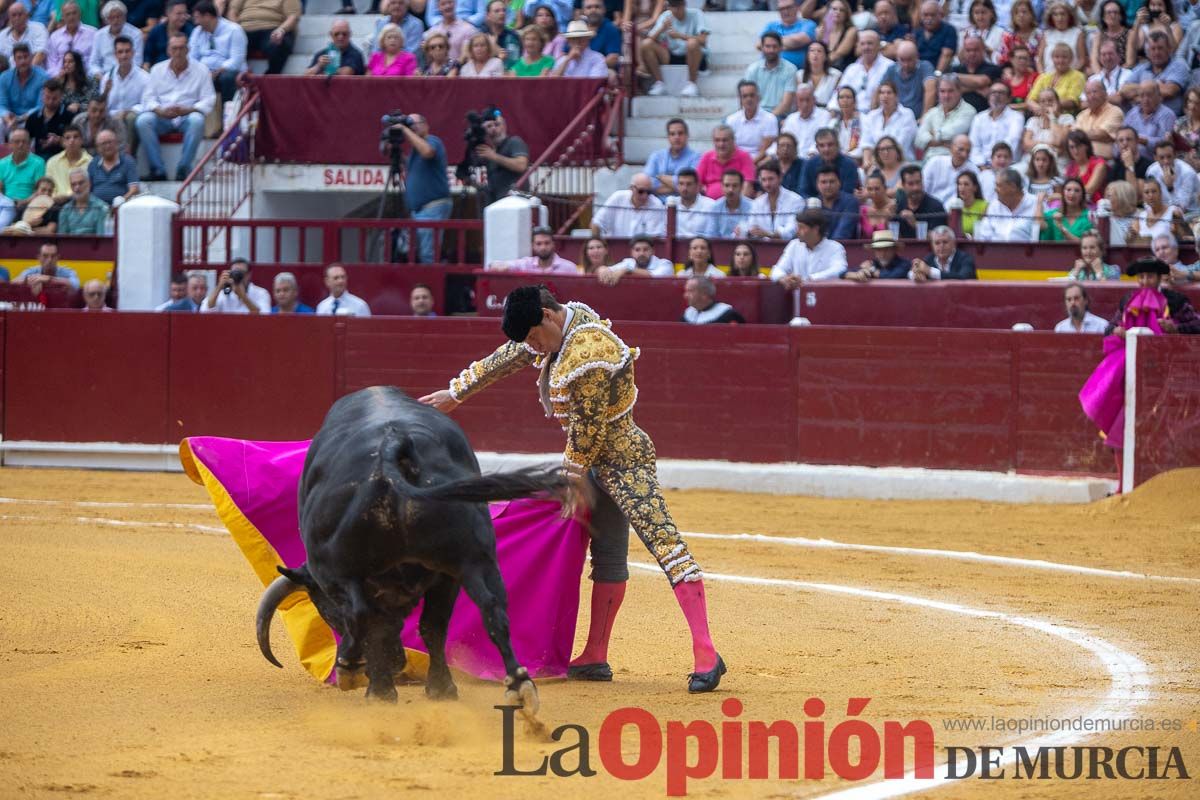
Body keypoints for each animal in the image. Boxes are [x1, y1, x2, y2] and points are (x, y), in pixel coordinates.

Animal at [254, 386, 571, 705]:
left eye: (324, 611)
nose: (397, 662)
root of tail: (391, 446)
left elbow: (375, 625)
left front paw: (378, 688)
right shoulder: (446, 576)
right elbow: (429, 626)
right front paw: (437, 688)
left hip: (337, 570)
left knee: (362, 614)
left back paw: (352, 670)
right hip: (473, 560)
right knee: (490, 611)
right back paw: (518, 686)